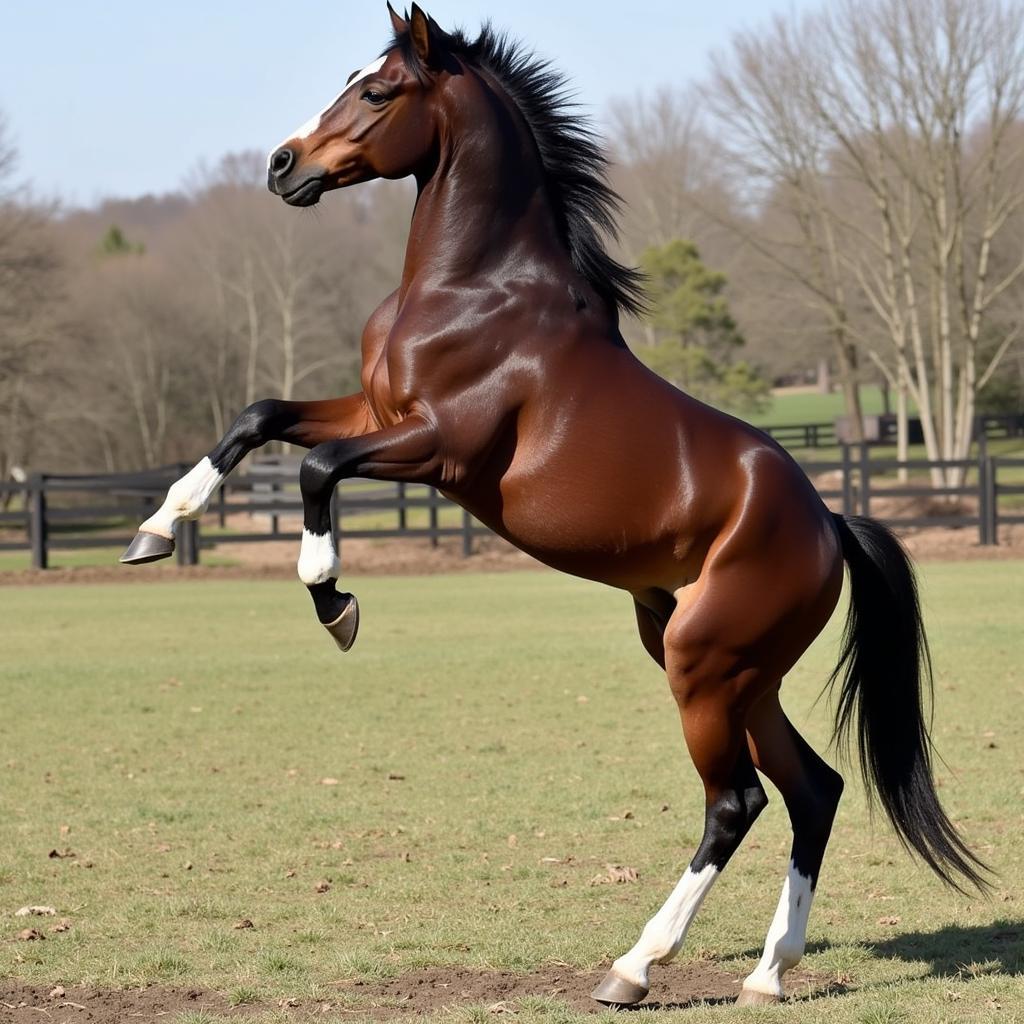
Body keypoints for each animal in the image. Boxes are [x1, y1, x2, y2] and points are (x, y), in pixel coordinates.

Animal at [117, 2, 983, 1007]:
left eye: (378, 92)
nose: (281, 166)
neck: (473, 289)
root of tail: (829, 526)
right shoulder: (376, 411)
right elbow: (259, 417)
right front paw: (156, 529)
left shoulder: (438, 448)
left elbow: (318, 471)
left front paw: (334, 600)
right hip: (734, 671)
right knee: (816, 790)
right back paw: (767, 973)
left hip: (703, 668)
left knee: (736, 803)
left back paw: (636, 967)